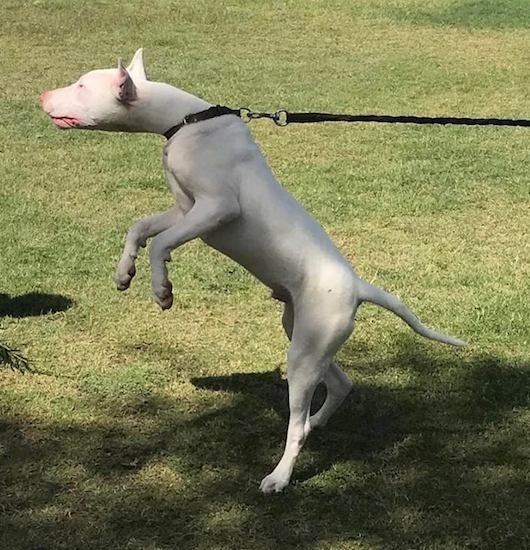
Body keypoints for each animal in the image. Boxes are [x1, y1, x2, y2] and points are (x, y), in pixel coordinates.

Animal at [41, 49, 462, 494]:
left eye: (82, 86)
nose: (42, 95)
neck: (185, 122)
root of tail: (358, 287)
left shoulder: (216, 209)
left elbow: (160, 243)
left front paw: (161, 289)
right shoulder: (185, 210)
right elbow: (140, 228)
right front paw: (124, 273)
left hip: (306, 352)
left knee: (297, 426)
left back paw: (280, 475)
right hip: (303, 334)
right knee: (339, 385)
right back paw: (317, 421)